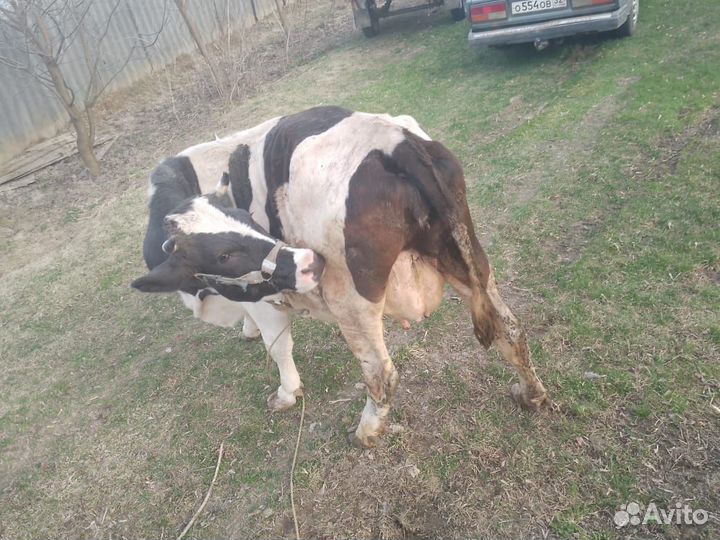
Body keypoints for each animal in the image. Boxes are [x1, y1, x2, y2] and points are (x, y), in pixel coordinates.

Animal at [131, 106, 549, 447]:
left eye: (228, 252)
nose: (305, 262)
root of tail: (393, 141)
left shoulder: (263, 297)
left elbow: (278, 347)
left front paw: (286, 393)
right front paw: (248, 333)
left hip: (351, 298)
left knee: (381, 373)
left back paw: (366, 431)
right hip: (465, 255)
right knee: (511, 328)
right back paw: (531, 394)